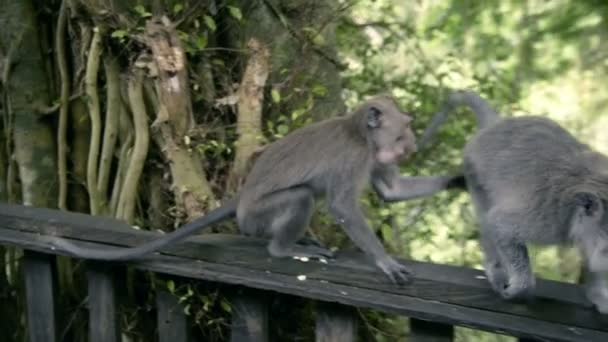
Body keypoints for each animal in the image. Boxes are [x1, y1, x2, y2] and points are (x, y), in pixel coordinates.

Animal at [53, 95, 460, 284]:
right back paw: (285, 249)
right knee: (300, 197)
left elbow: (392, 190)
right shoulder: (355, 157)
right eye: (403, 130)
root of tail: (242, 199)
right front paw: (385, 261)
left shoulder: (374, 156)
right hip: (258, 216)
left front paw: (458, 179)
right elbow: (344, 207)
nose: (411, 145)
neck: (361, 132)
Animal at [414, 90, 608, 312]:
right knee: (487, 218)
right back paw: (495, 269)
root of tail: (496, 124)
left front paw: (597, 295)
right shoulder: (550, 219)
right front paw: (521, 286)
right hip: (474, 173)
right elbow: (500, 224)